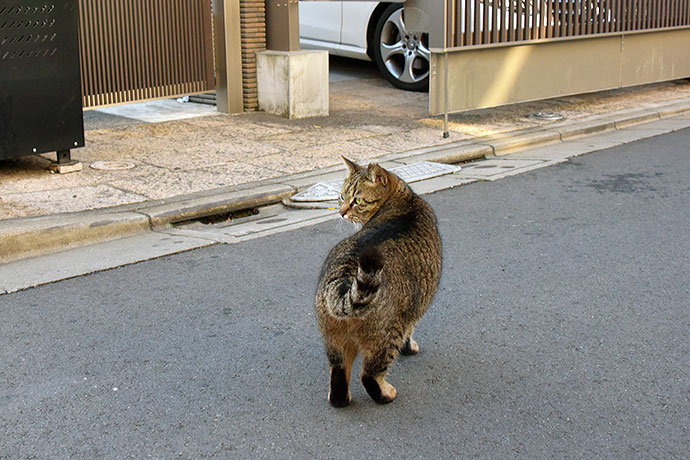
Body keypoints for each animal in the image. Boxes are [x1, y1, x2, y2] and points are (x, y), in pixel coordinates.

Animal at [316, 157, 440, 406]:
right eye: (341, 197)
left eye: (356, 200)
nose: (341, 212)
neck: (404, 201)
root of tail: (343, 279)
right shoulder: (410, 313)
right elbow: (409, 333)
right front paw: (410, 348)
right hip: (386, 336)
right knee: (369, 375)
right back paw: (386, 394)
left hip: (334, 341)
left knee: (338, 379)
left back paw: (342, 399)